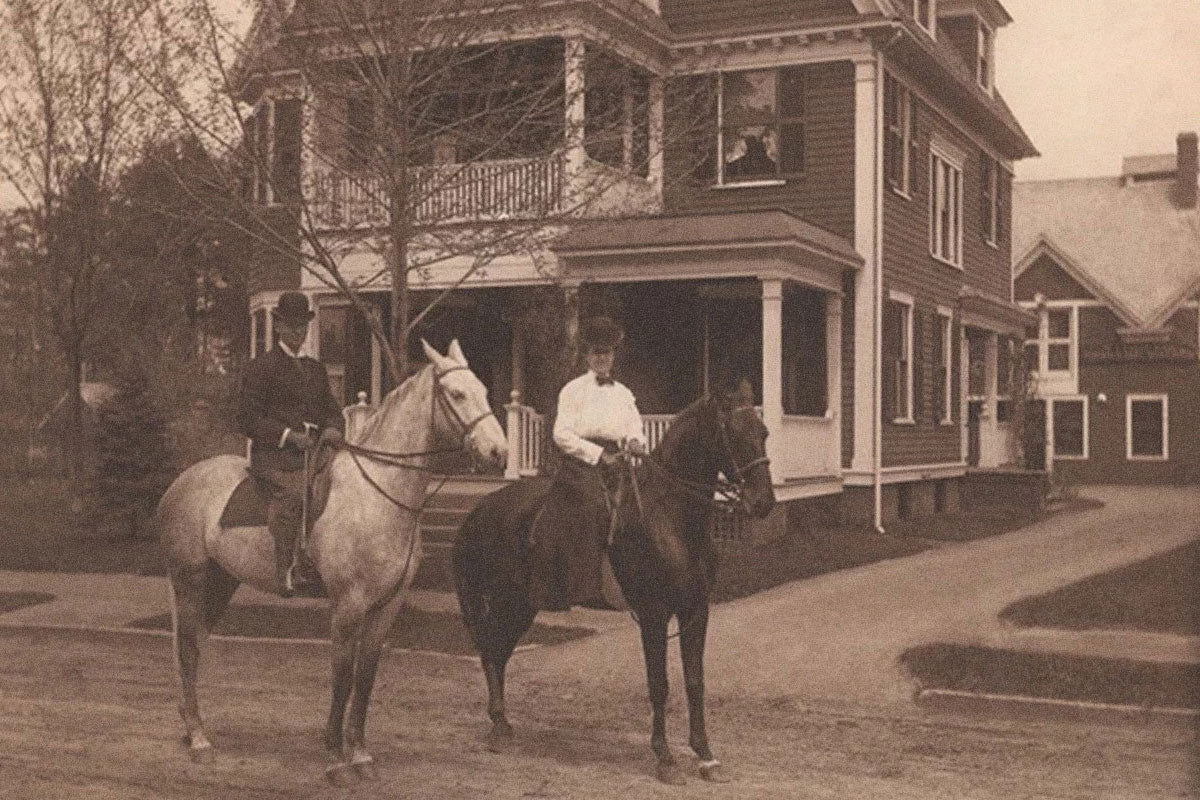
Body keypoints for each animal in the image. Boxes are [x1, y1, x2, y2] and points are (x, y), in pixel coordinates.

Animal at [156, 340, 506, 786]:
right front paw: (337, 758)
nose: (499, 453)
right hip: (190, 580)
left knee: (195, 646)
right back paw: (199, 740)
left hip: (220, 583)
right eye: (457, 394)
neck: (378, 494)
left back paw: (192, 729)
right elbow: (342, 676)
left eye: (483, 389)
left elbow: (366, 676)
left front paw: (360, 753)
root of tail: (181, 482)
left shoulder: (386, 606)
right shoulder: (348, 604)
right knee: (186, 650)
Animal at [451, 391, 777, 786]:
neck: (673, 519)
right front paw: (665, 759)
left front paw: (706, 757)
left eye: (763, 432)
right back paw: (499, 728)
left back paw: (503, 724)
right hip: (504, 600)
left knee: (498, 653)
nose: (763, 502)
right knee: (490, 652)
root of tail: (480, 509)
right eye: (733, 434)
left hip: (522, 605)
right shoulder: (654, 615)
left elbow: (695, 681)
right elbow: (659, 684)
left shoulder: (696, 611)